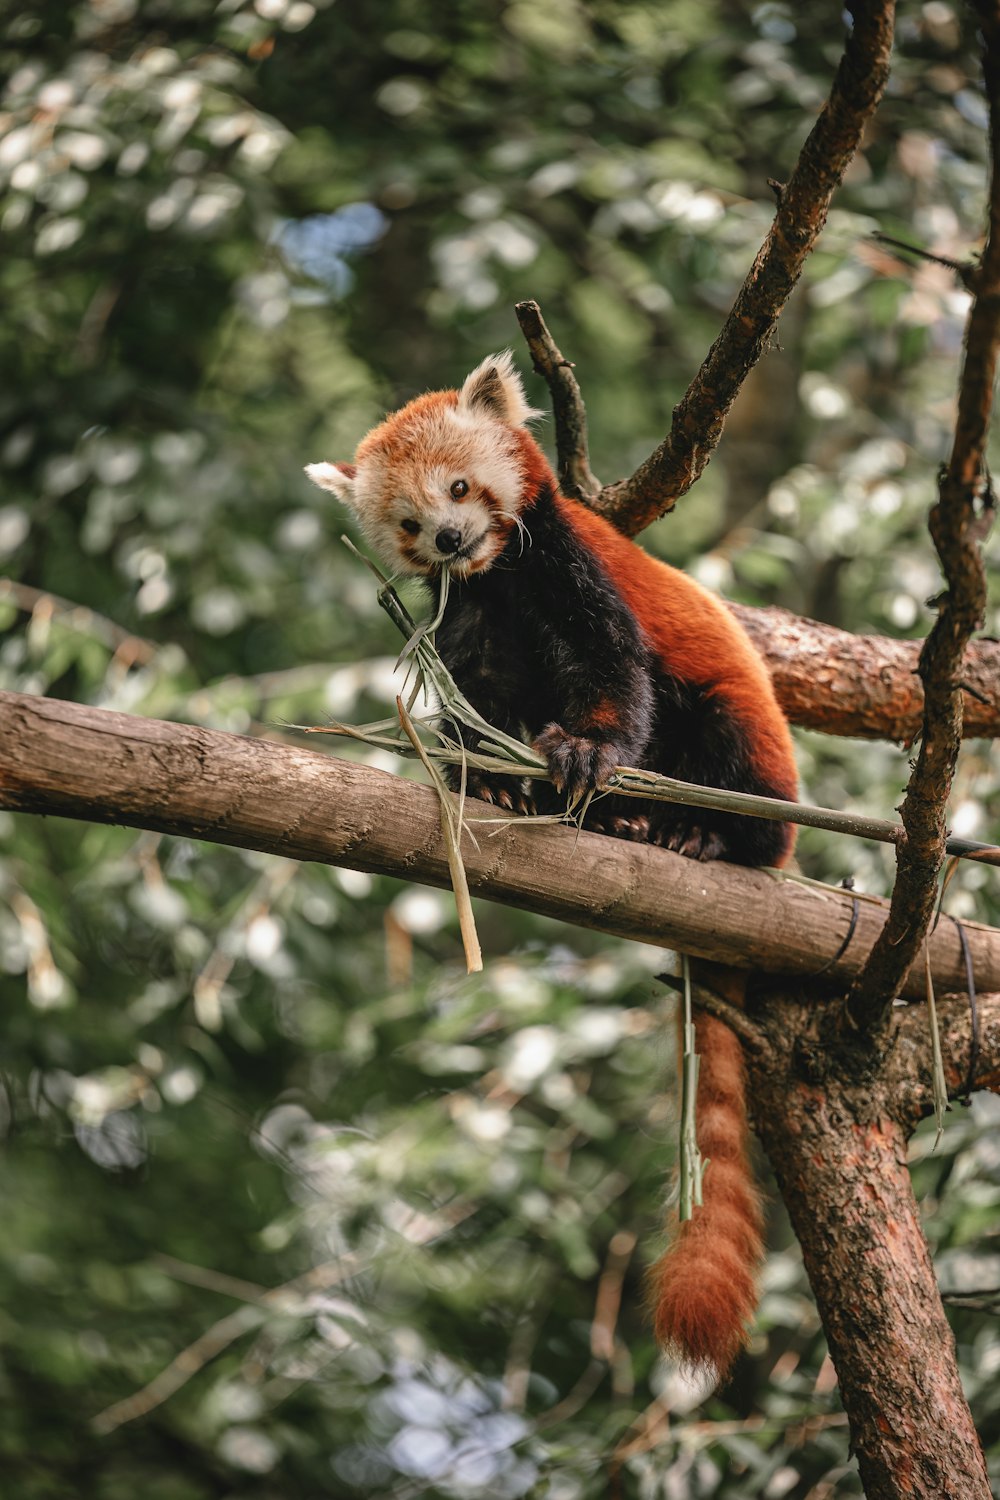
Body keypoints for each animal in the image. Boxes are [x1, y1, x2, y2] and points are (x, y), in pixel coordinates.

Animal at [305, 351, 797, 1380]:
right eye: (409, 524)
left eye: (460, 489)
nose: (451, 538)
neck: (497, 578)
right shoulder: (470, 621)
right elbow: (478, 701)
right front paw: (496, 778)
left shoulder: (572, 569)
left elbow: (612, 675)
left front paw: (579, 757)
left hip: (746, 741)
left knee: (727, 753)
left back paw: (693, 835)